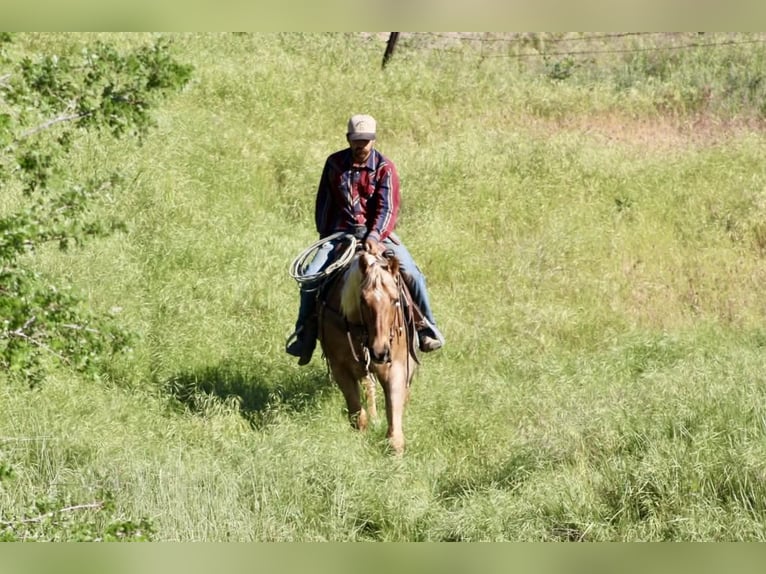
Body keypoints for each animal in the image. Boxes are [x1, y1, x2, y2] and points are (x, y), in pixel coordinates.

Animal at [316, 247, 418, 454]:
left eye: (395, 299)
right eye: (363, 300)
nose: (380, 352)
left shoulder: (395, 367)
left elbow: (395, 431)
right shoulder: (341, 368)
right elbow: (358, 417)